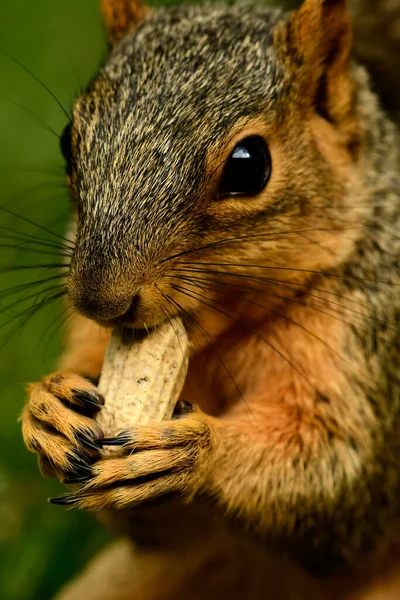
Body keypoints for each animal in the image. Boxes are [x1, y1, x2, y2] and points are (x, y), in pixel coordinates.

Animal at [19, 0, 400, 596]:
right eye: (67, 140)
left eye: (250, 164)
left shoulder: (367, 339)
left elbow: (340, 485)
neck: (221, 338)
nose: (99, 302)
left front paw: (196, 449)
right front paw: (46, 409)